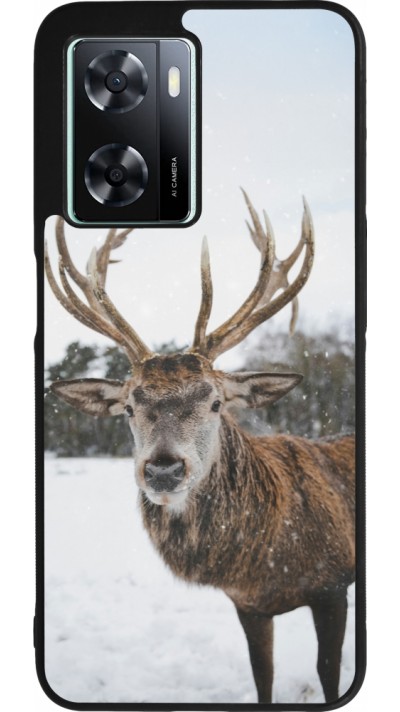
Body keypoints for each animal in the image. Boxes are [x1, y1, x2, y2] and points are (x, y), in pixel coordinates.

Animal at [45, 191, 355, 704]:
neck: (266, 561)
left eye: (214, 402)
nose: (163, 470)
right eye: (128, 406)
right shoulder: (248, 605)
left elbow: (329, 674)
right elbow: (262, 676)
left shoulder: (333, 585)